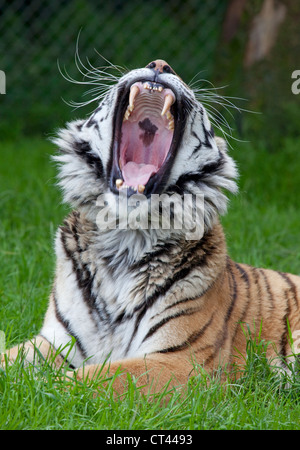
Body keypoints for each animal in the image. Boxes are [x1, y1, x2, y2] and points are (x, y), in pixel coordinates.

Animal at [1, 59, 300, 394]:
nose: (159, 64)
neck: (123, 237)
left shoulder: (183, 361)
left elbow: (89, 379)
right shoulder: (53, 342)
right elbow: (12, 360)